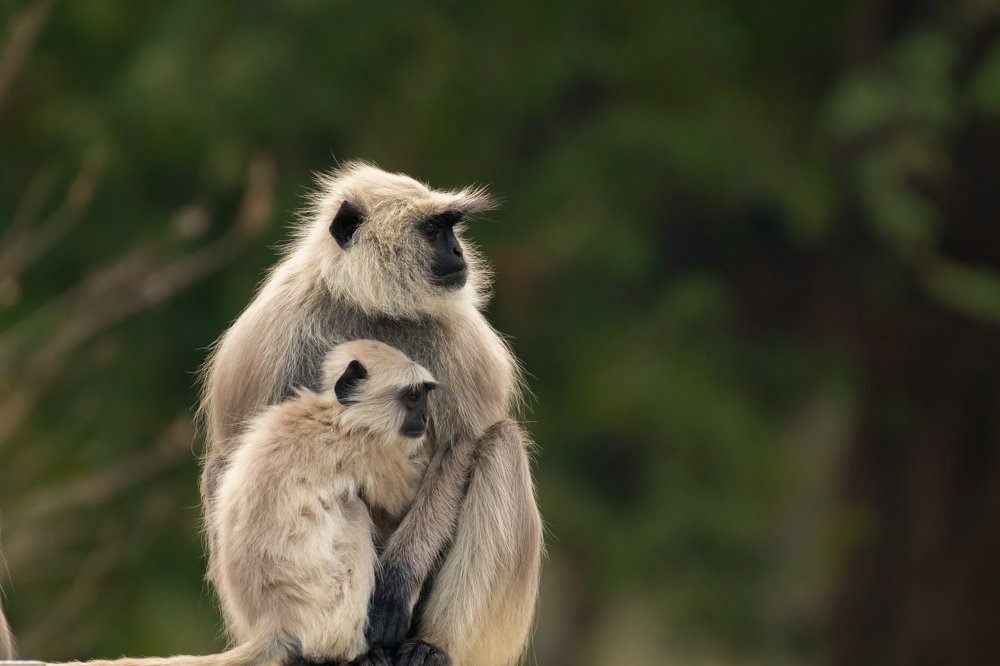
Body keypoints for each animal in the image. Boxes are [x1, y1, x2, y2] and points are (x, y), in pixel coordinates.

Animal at [42, 339, 439, 666]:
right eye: (412, 398)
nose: (424, 418)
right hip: (331, 600)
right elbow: (405, 493)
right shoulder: (369, 449)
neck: (334, 414)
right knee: (353, 510)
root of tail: (274, 624)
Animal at [200, 162, 542, 666]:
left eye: (451, 226)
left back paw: (431, 645)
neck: (373, 305)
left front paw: (398, 582)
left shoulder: (459, 334)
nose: (458, 251)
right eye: (432, 229)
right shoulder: (271, 328)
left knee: (500, 443)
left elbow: (462, 446)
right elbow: (242, 458)